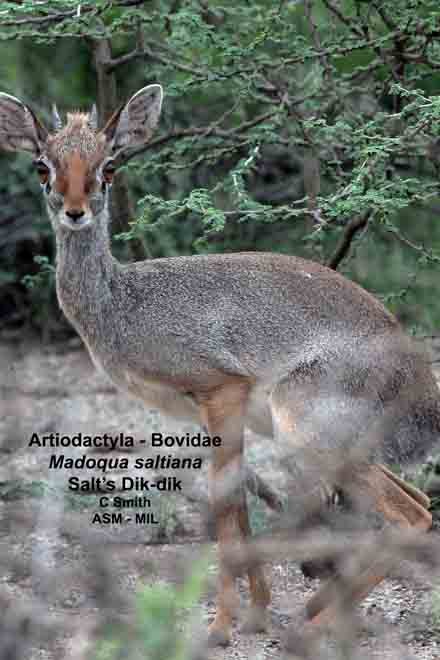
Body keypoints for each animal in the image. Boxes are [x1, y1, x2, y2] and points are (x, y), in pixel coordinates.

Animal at [0, 84, 438, 647]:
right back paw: (320, 605)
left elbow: (225, 510)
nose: (75, 211)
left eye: (109, 166)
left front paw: (221, 627)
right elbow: (241, 513)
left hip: (305, 431)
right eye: (42, 165)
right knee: (417, 502)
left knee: (413, 515)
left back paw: (315, 623)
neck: (123, 304)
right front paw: (255, 614)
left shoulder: (220, 390)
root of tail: (426, 397)